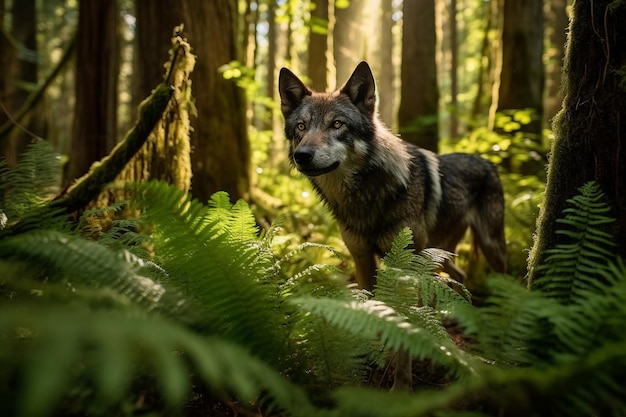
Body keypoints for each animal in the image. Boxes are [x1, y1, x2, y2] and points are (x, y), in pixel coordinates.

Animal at [280, 61, 504, 292]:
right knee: (459, 276)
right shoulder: (362, 258)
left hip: (489, 247)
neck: (365, 195)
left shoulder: (410, 263)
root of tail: (486, 161)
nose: (302, 155)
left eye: (337, 124)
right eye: (301, 126)